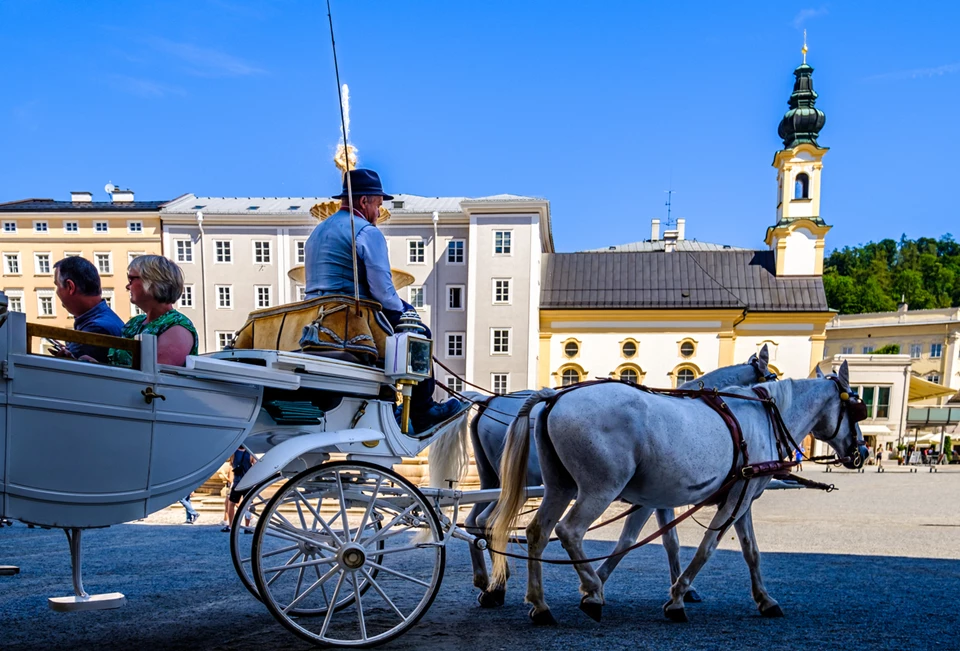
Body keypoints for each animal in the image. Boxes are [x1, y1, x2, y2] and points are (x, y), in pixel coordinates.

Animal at [462, 348, 776, 608]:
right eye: (771, 375)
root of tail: (490, 400)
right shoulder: (651, 499)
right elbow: (644, 540)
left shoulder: (661, 498)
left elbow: (671, 541)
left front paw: (683, 589)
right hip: (523, 487)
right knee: (490, 522)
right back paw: (498, 586)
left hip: (494, 482)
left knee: (476, 521)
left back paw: (487, 581)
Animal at [492, 362, 868, 628]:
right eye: (857, 408)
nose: (862, 452)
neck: (763, 419)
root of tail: (555, 396)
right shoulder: (729, 500)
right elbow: (705, 549)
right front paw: (676, 597)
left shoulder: (741, 499)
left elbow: (751, 552)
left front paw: (764, 599)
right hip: (599, 489)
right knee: (569, 531)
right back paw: (592, 592)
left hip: (560, 487)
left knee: (537, 533)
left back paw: (541, 605)